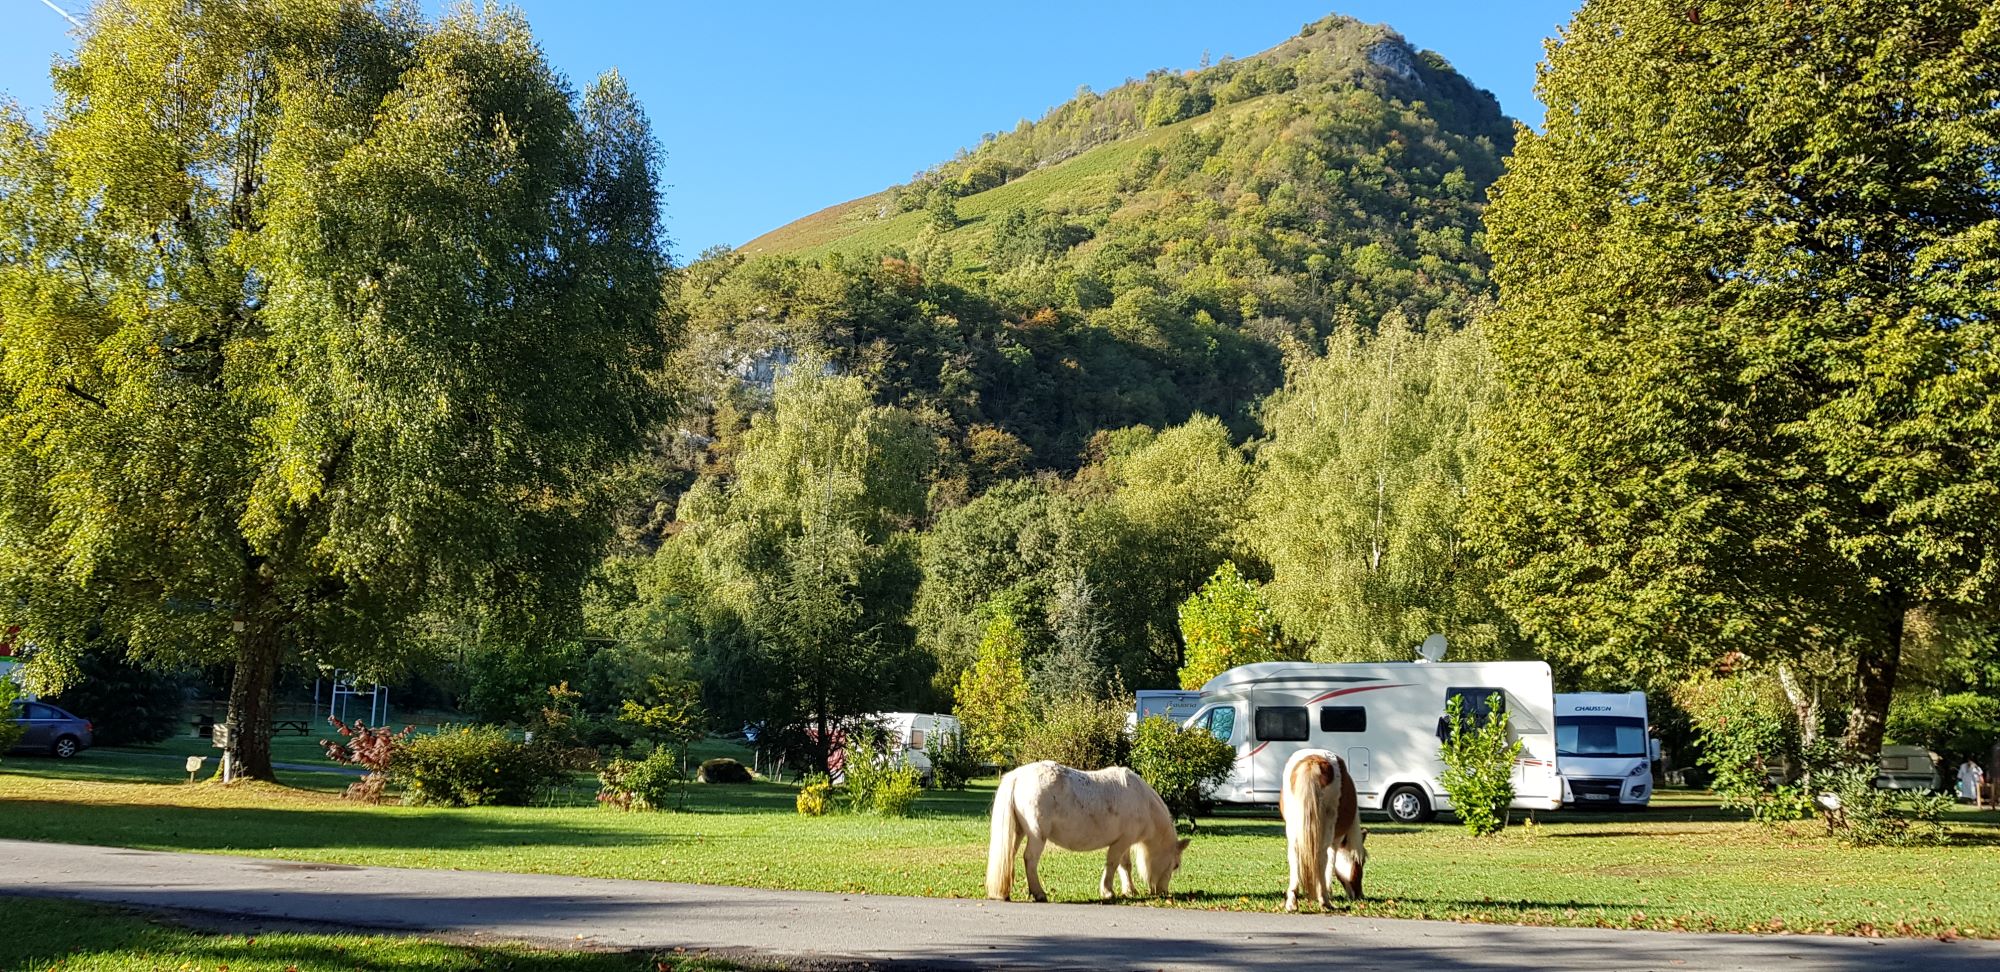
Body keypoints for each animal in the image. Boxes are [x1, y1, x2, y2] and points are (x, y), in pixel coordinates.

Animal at [984, 760, 1184, 904]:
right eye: (1175, 865)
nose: (1163, 892)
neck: (1143, 802)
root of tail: (1018, 776)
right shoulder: (1120, 843)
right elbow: (1112, 864)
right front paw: (1107, 891)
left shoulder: (1125, 841)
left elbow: (1124, 865)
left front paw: (1130, 890)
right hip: (1036, 835)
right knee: (1030, 859)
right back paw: (1039, 893)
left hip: (1018, 832)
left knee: (1010, 855)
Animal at [1280, 748, 1376, 908]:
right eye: (1360, 862)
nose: (1359, 895)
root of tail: (1314, 762)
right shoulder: (1336, 839)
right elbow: (1331, 860)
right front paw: (1328, 891)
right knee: (1322, 856)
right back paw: (1324, 899)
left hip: (1293, 826)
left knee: (1294, 854)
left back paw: (1292, 901)